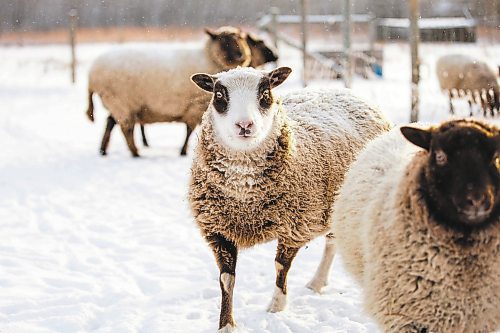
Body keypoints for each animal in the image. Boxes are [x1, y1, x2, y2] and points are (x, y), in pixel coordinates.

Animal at [86, 25, 252, 156]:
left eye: (240, 39)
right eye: (223, 40)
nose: (241, 56)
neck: (209, 58)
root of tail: (91, 76)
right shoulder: (195, 107)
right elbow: (189, 130)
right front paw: (183, 151)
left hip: (119, 104)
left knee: (110, 123)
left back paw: (103, 150)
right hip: (121, 102)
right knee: (126, 128)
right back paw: (135, 153)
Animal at [188, 66, 390, 330]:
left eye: (265, 93)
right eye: (219, 94)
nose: (245, 125)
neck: (245, 198)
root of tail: (344, 90)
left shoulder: (296, 225)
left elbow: (280, 266)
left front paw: (276, 306)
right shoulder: (218, 229)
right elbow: (226, 279)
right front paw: (226, 325)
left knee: (335, 244)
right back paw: (317, 283)